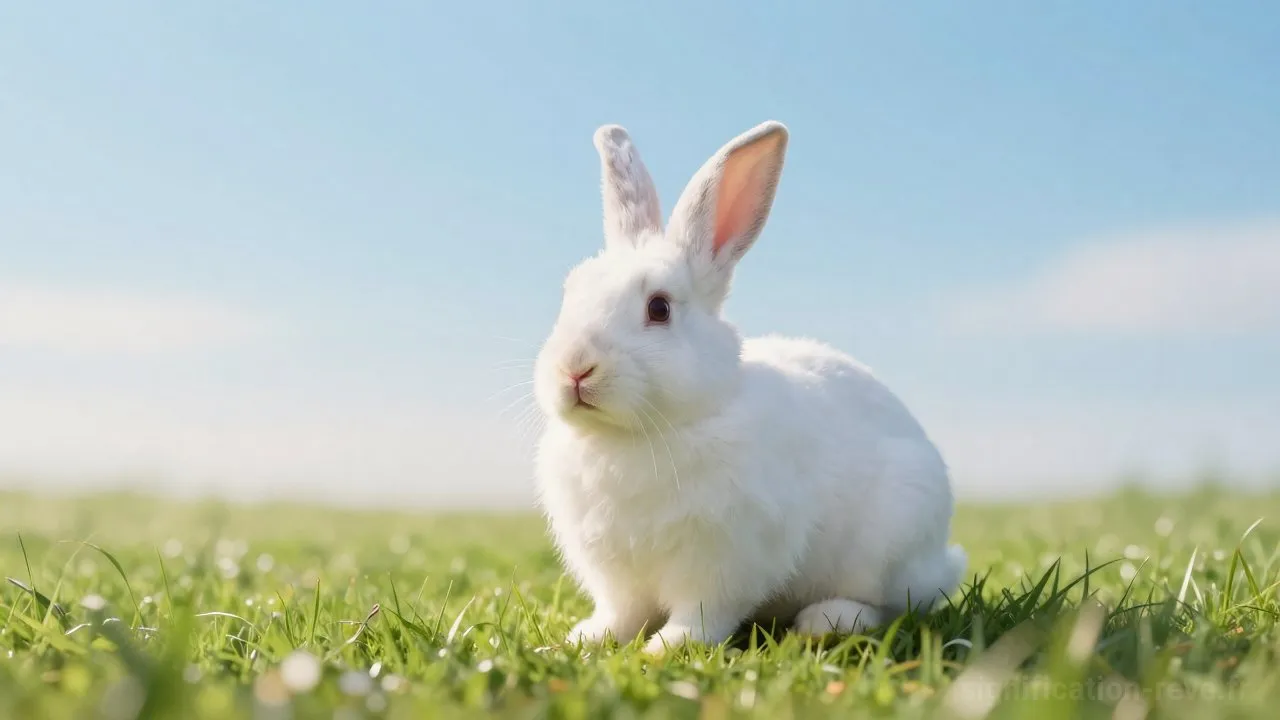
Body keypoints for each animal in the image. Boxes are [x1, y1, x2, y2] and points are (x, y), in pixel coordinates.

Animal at [531, 119, 967, 654]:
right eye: (570, 293)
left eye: (659, 308)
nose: (574, 369)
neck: (634, 437)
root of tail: (942, 561)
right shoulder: (617, 576)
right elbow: (623, 613)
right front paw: (586, 639)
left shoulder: (722, 562)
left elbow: (702, 614)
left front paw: (667, 649)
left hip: (892, 539)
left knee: (889, 603)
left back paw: (828, 620)